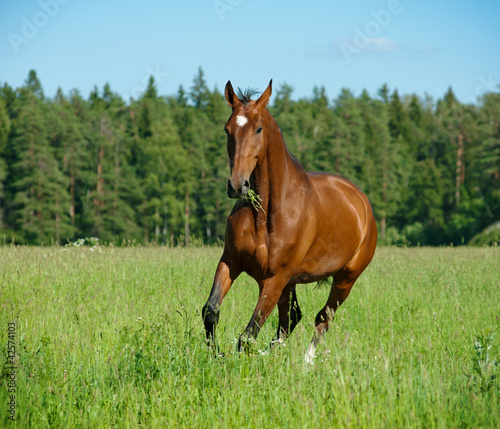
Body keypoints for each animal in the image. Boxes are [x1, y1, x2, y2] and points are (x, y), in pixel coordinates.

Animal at [201, 79, 376, 362]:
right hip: (291, 284)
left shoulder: (275, 278)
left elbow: (248, 335)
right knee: (292, 318)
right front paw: (214, 355)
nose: (237, 185)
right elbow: (211, 311)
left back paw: (307, 362)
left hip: (345, 279)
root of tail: (362, 202)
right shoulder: (231, 261)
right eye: (227, 129)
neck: (266, 215)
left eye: (259, 128)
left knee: (322, 318)